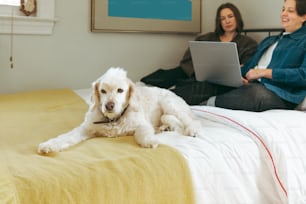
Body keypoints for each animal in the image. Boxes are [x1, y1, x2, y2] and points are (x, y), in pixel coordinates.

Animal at [37, 67, 202, 154]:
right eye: (103, 91)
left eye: (120, 90)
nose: (109, 105)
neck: (113, 119)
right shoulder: (86, 128)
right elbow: (67, 137)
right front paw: (49, 145)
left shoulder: (142, 124)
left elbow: (142, 133)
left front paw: (149, 140)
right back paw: (163, 128)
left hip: (169, 103)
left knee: (189, 120)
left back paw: (192, 130)